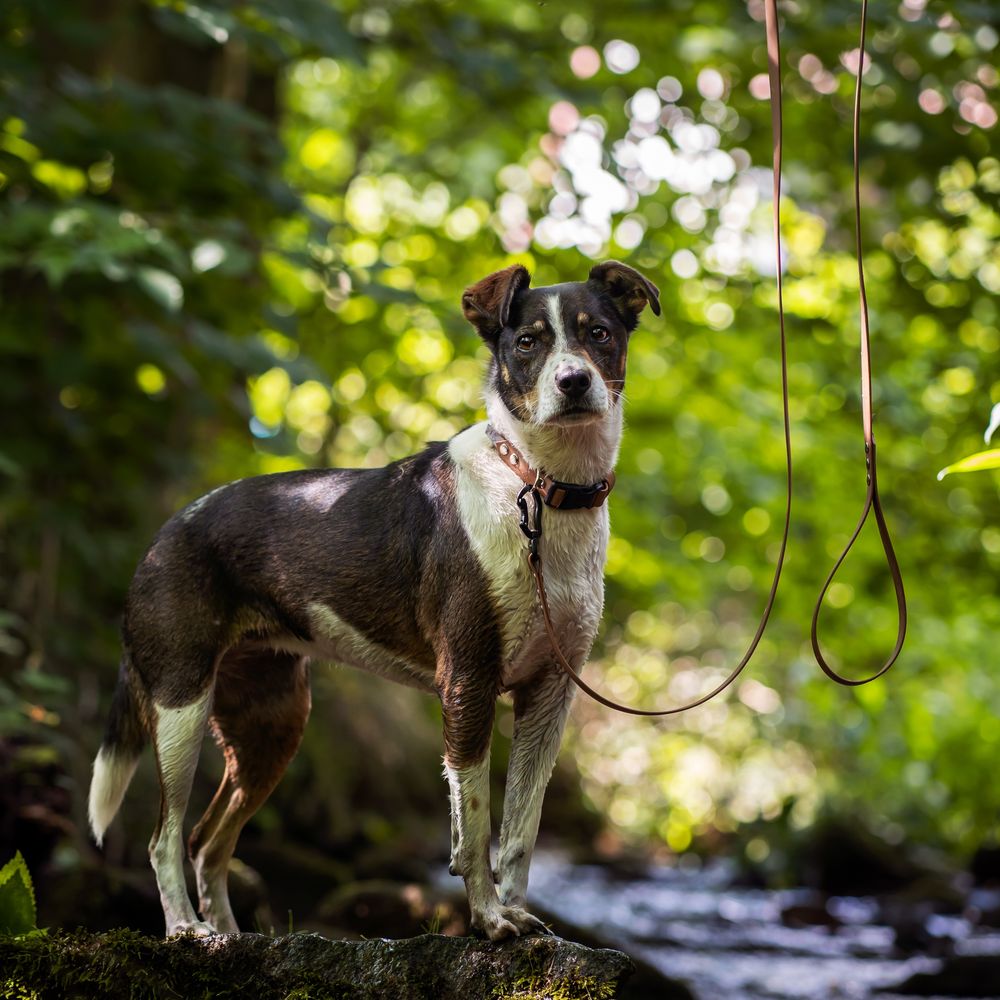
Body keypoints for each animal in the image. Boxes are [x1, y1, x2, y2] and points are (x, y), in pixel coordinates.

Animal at [90, 258, 660, 936]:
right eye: (527, 343)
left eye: (599, 333)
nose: (574, 381)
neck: (536, 486)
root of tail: (162, 537)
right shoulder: (467, 683)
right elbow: (473, 826)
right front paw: (489, 922)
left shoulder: (548, 696)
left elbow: (521, 831)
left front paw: (518, 915)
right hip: (181, 705)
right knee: (164, 837)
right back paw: (186, 930)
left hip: (272, 724)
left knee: (208, 840)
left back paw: (228, 935)